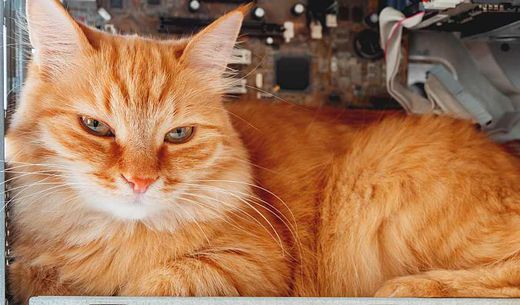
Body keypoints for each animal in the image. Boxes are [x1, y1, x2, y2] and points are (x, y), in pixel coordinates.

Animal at [6, 1, 520, 302]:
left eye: (179, 135)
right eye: (95, 127)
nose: (140, 182)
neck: (120, 238)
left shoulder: (254, 265)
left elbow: (159, 281)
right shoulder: (29, 268)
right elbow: (37, 278)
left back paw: (410, 288)